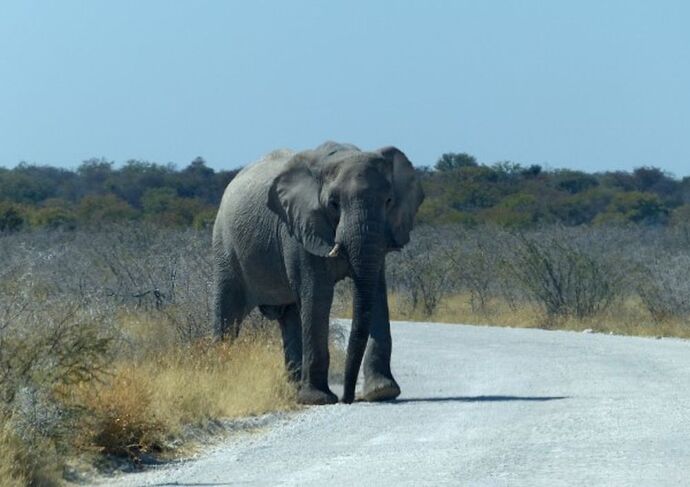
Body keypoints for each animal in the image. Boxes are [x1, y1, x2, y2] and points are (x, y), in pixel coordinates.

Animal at [212, 140, 422, 404]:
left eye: (389, 200)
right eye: (333, 204)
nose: (348, 398)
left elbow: (375, 292)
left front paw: (382, 392)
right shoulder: (299, 230)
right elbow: (318, 295)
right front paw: (318, 399)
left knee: (289, 317)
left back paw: (293, 390)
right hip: (225, 246)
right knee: (227, 314)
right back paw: (221, 379)